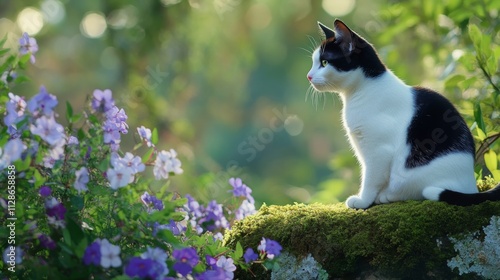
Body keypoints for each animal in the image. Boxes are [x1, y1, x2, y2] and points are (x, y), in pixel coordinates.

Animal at [306, 19, 500, 208]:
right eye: (314, 62)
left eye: (324, 62)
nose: (309, 76)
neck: (362, 91)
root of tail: (471, 187)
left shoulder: (379, 150)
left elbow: (370, 178)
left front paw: (363, 201)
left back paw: (387, 196)